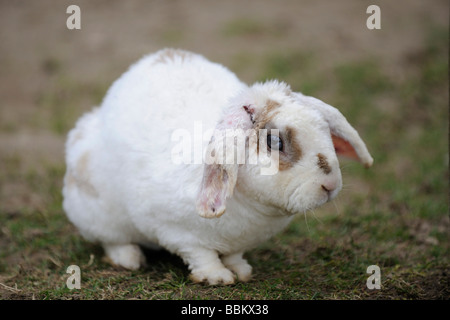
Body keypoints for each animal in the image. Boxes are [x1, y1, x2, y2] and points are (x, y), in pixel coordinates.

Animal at [63, 48, 372, 284]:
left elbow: (233, 255)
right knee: (111, 239)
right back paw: (129, 259)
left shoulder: (236, 242)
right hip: (96, 210)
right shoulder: (176, 233)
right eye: (275, 141)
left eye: (325, 129)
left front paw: (241, 271)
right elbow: (202, 255)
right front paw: (217, 278)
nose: (330, 185)